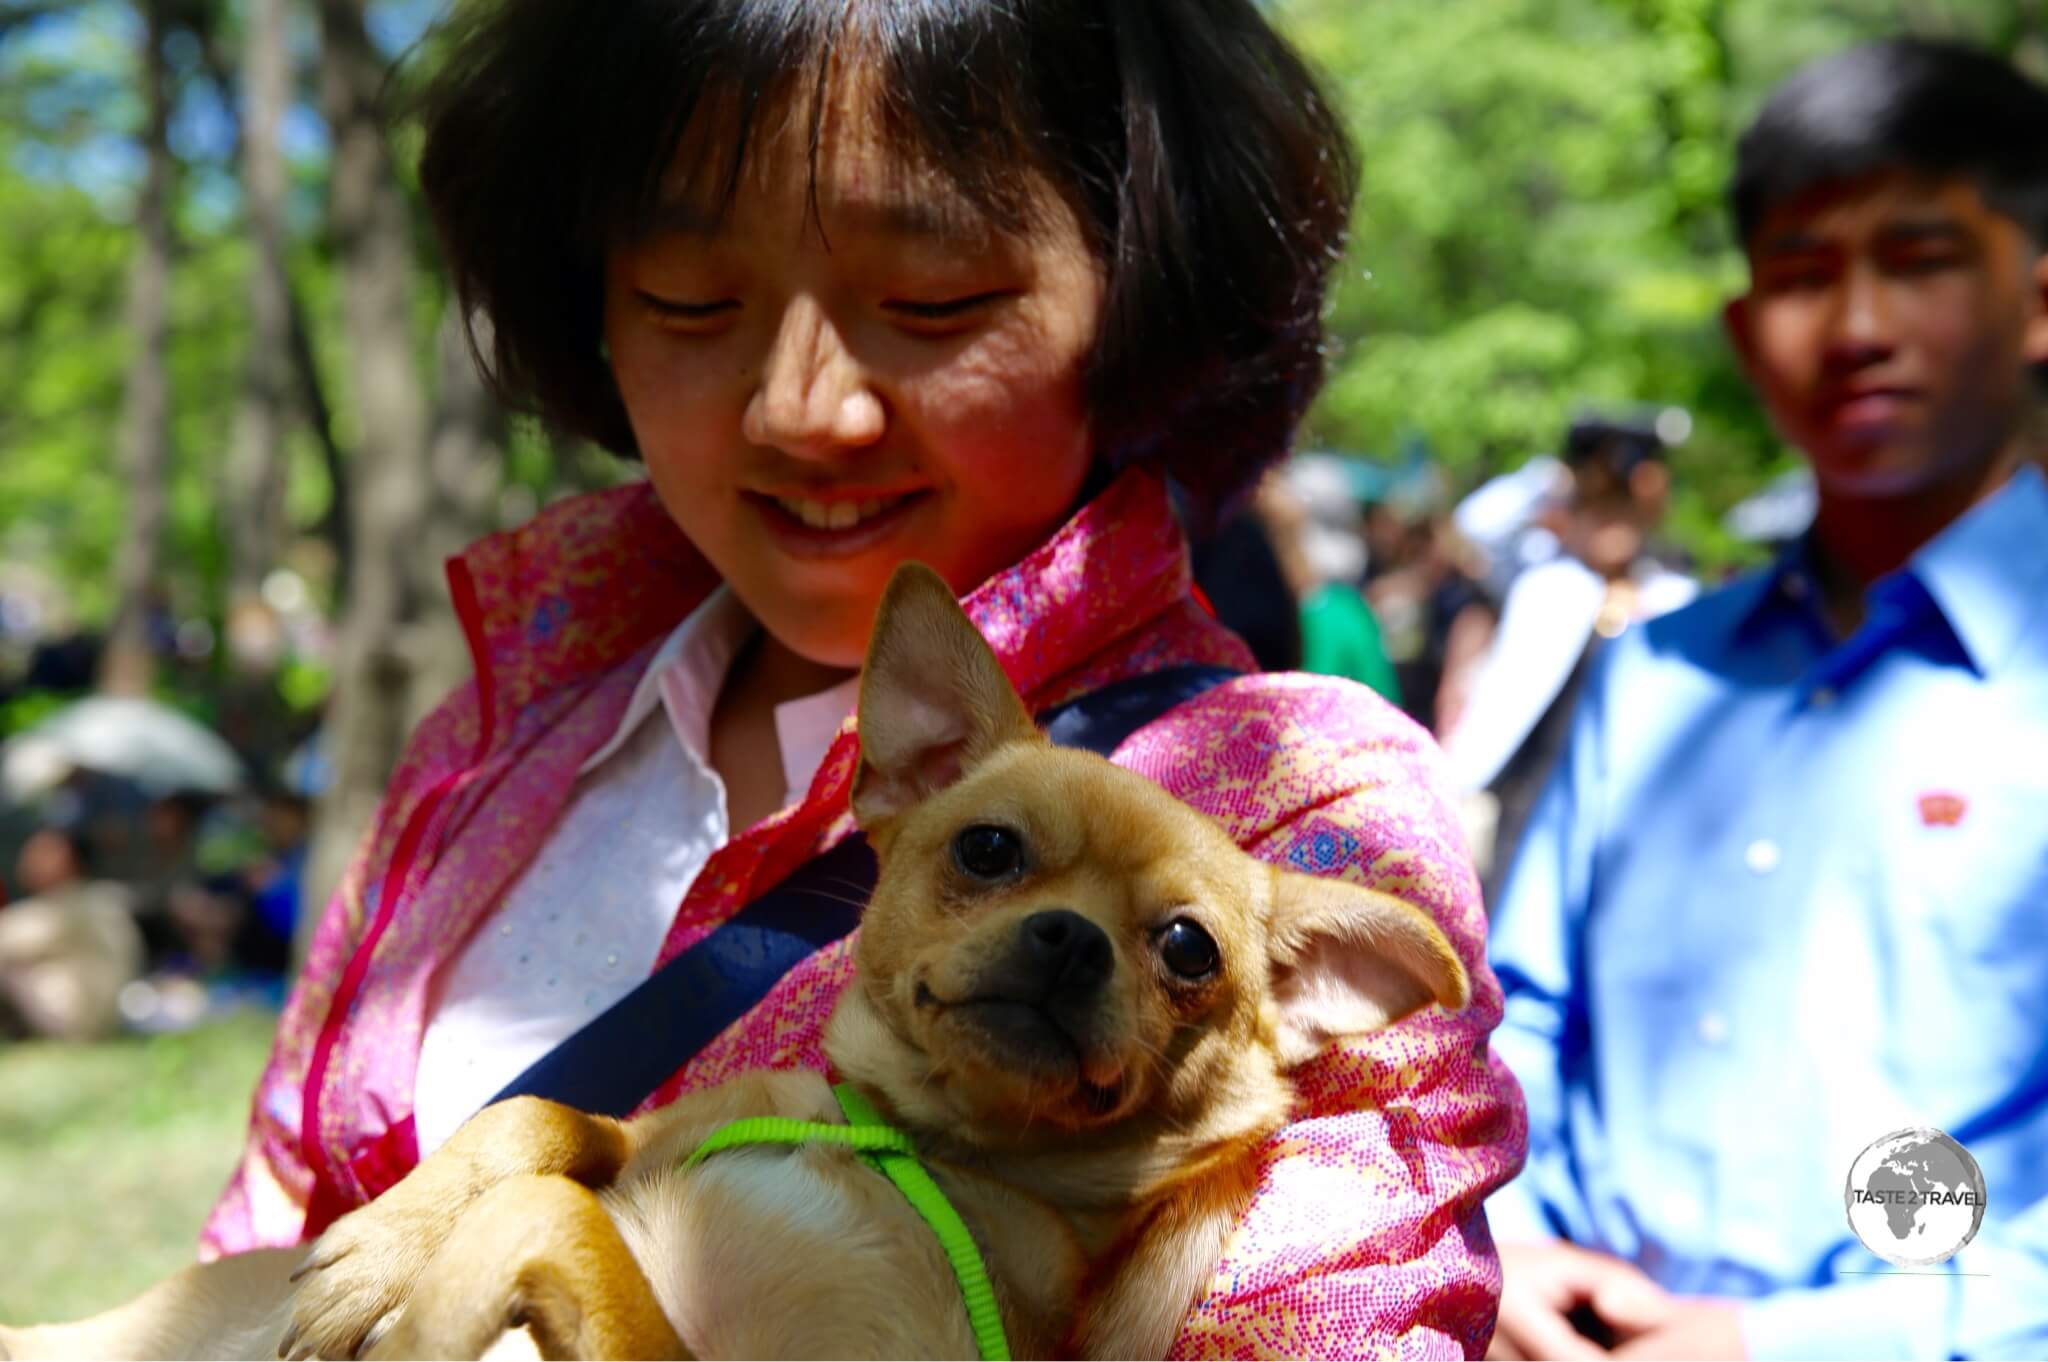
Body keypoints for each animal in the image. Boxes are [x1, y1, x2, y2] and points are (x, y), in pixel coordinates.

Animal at [4, 557, 1474, 1351]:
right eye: (989, 849)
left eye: (1185, 948)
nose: (1068, 942)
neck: (903, 1142)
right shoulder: (630, 1135)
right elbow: (540, 1127)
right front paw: (381, 1246)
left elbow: (550, 1217)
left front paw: (418, 1311)